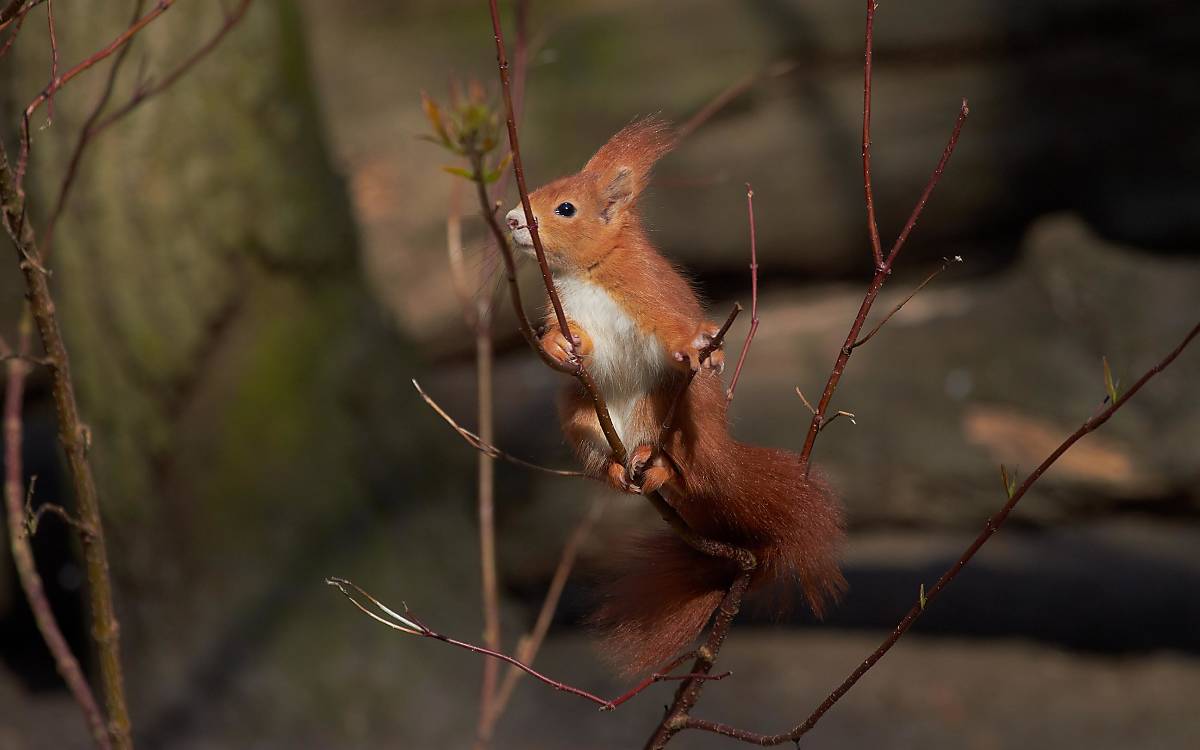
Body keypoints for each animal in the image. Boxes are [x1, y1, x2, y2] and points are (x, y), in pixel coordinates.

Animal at [506, 115, 844, 672]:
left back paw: (661, 465)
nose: (512, 219)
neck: (585, 272)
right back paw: (617, 469)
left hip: (670, 410)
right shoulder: (566, 311)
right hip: (581, 417)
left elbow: (672, 330)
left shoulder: (649, 294)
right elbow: (566, 344)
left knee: (684, 467)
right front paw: (559, 343)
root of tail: (717, 450)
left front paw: (699, 346)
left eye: (565, 208)